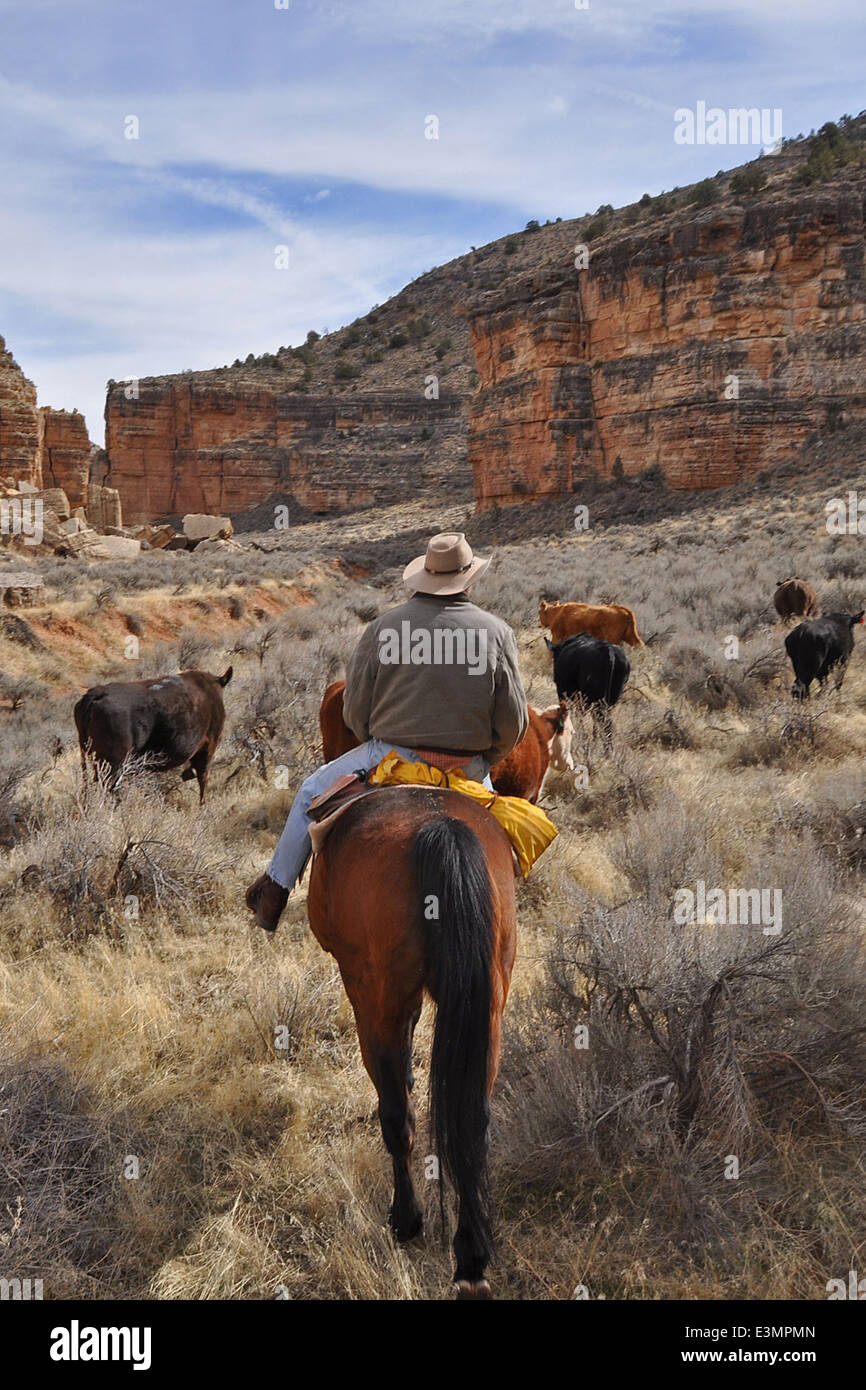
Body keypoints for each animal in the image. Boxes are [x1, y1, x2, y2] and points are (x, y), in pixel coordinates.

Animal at [308, 789, 517, 1295]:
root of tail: (440, 828)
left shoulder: (367, 994)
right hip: (489, 1008)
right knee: (474, 1121)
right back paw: (471, 1258)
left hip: (377, 1001)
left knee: (397, 1116)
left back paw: (405, 1219)